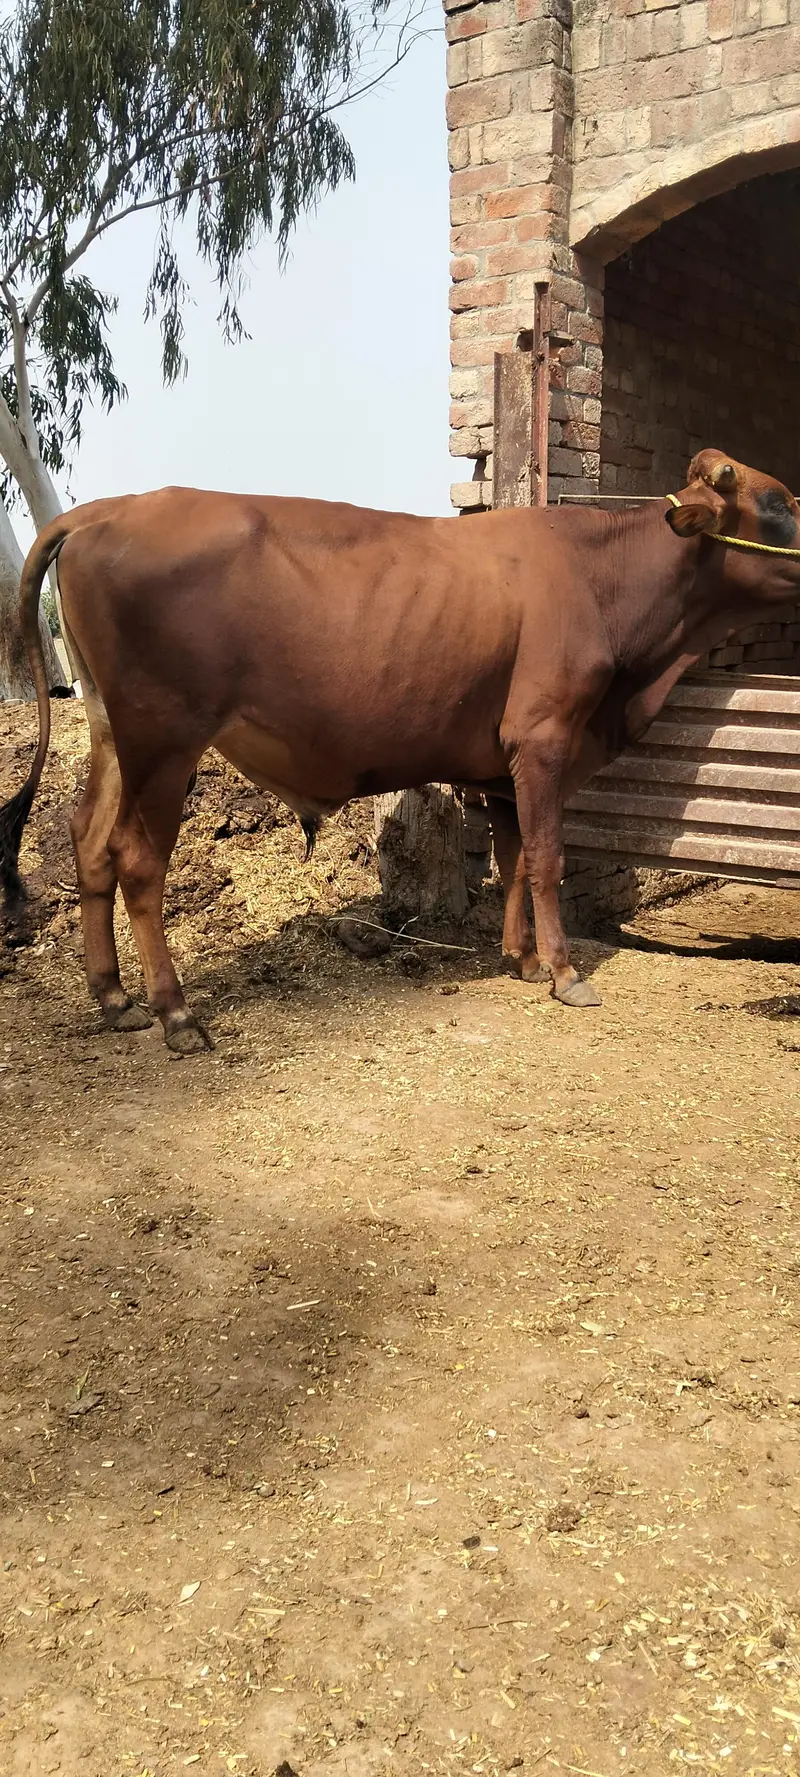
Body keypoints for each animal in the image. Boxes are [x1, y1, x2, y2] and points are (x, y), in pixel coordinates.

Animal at [1, 448, 799, 1055]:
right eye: (779, 502)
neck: (601, 578)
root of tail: (107, 510)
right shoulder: (545, 740)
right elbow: (546, 858)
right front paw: (565, 972)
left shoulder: (502, 764)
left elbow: (513, 860)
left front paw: (521, 956)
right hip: (164, 740)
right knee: (138, 861)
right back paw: (174, 1012)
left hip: (113, 732)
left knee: (90, 841)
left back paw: (113, 998)